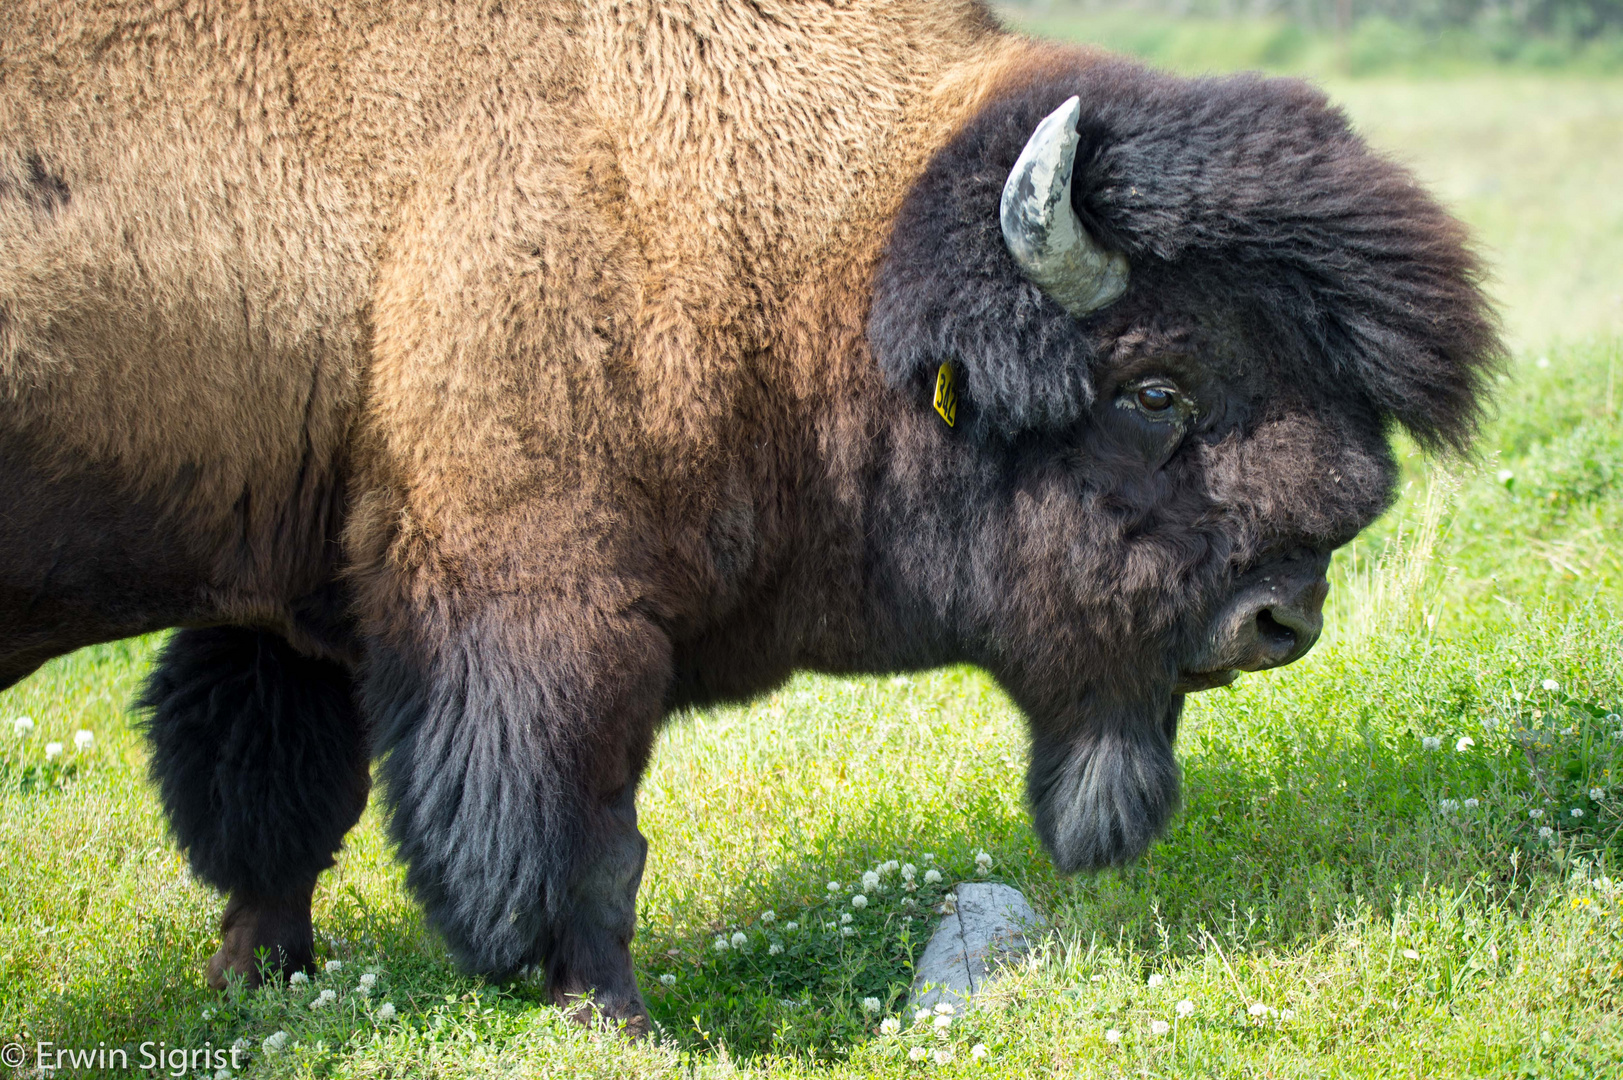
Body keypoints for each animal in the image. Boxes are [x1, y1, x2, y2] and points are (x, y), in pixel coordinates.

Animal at [0, 0, 1499, 1026]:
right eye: (1154, 386)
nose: (1281, 617)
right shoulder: (544, 607)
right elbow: (578, 845)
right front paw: (616, 1021)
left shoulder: (289, 604)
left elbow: (268, 804)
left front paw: (263, 982)